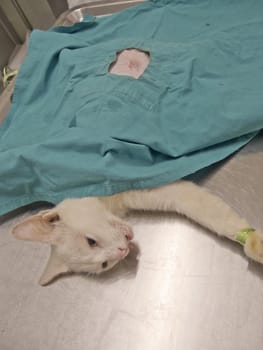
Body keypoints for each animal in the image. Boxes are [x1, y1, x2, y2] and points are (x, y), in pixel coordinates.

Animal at [12, 179, 263, 286]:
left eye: (90, 241)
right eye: (104, 265)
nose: (123, 251)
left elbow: (216, 217)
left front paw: (252, 241)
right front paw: (251, 240)